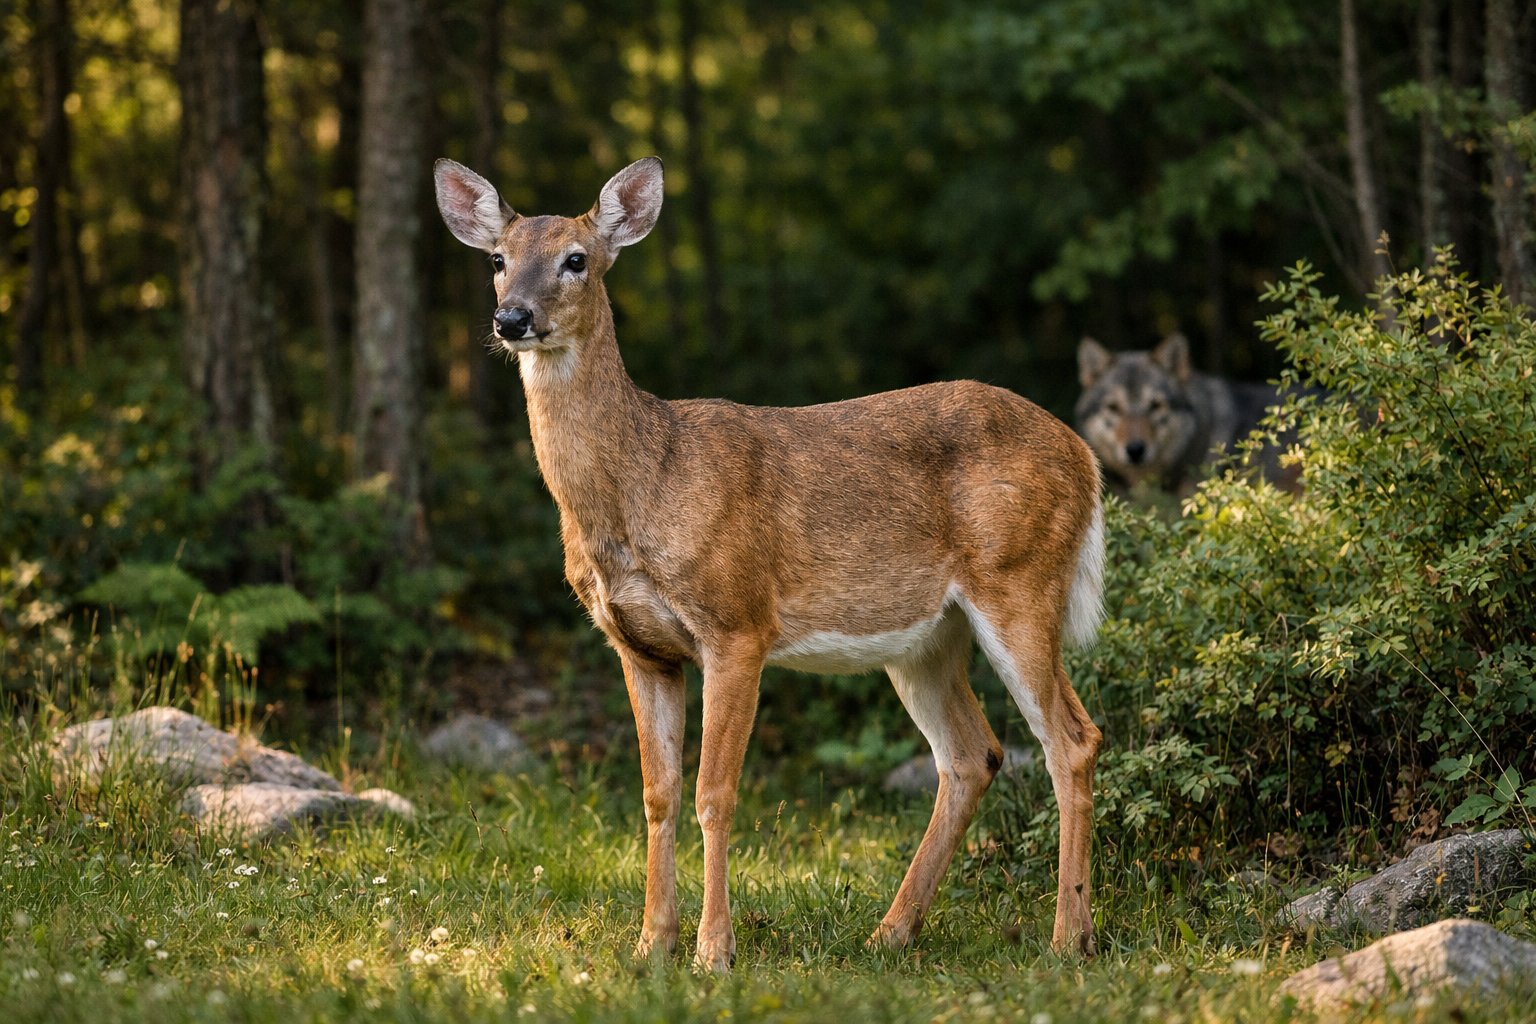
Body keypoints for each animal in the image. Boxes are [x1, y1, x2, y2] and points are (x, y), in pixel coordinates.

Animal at [433, 155, 1106, 972]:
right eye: (497, 261)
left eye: (577, 260)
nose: (513, 319)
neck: (641, 485)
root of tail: (1085, 456)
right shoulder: (639, 646)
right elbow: (657, 794)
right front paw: (650, 945)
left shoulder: (736, 622)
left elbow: (714, 795)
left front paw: (713, 952)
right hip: (925, 639)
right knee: (973, 754)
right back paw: (891, 931)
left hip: (1020, 582)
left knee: (1071, 741)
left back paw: (1068, 939)